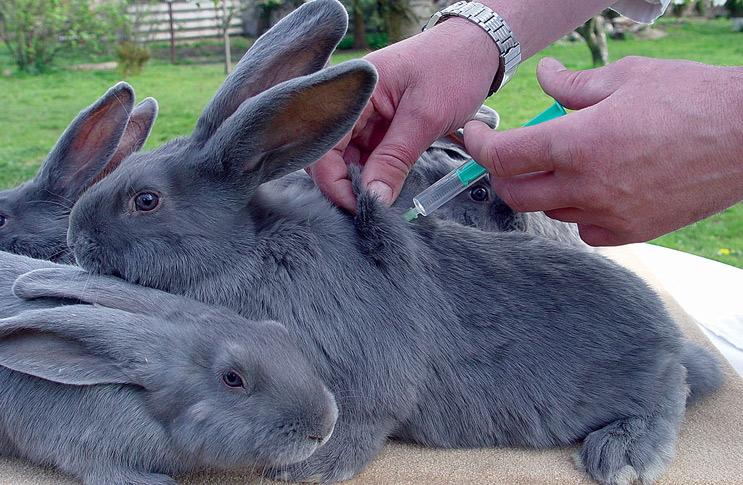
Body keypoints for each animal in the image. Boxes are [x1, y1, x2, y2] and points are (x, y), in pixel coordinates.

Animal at [61, 0, 724, 484]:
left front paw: (313, 469)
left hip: (649, 386)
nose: (76, 236)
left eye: (145, 201)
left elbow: (360, 419)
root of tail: (671, 342)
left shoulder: (365, 383)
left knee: (670, 399)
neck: (251, 247)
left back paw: (620, 455)